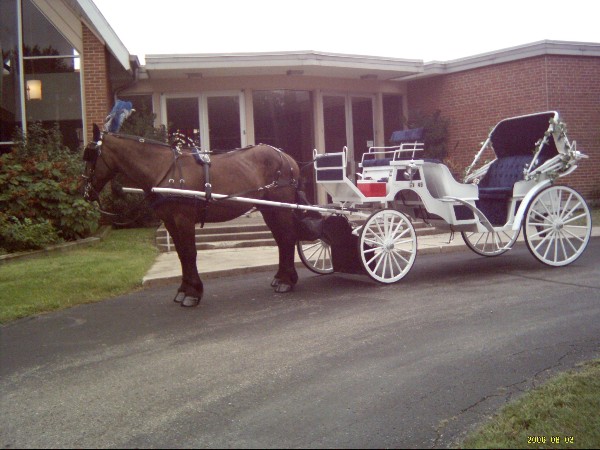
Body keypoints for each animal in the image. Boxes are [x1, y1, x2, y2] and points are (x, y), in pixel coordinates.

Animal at [81, 123, 304, 308]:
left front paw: (192, 294)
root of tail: (287, 158)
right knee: (281, 239)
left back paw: (287, 281)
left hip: (280, 208)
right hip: (269, 209)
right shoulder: (170, 221)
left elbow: (189, 253)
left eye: (90, 155)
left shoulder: (184, 219)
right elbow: (181, 254)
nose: (85, 192)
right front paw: (183, 290)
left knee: (287, 237)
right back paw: (281, 277)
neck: (164, 169)